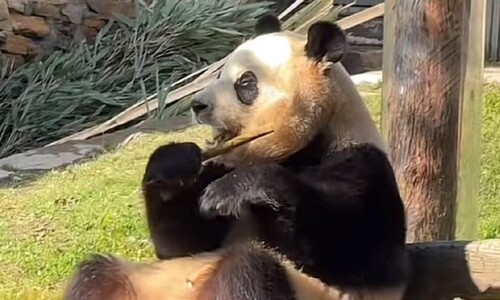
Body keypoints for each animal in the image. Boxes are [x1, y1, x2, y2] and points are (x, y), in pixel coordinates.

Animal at [65, 14, 410, 300]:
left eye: (245, 83)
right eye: (220, 73)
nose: (198, 104)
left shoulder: (360, 163)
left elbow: (357, 251)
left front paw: (232, 192)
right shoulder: (216, 167)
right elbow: (182, 244)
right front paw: (174, 165)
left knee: (248, 269)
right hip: (146, 284)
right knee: (98, 275)